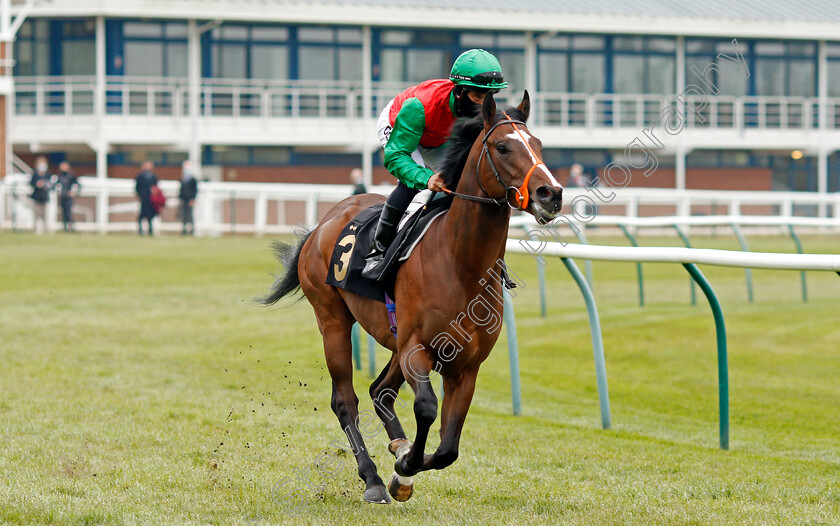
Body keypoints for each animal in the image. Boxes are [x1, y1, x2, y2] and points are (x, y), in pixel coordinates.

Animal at [260, 93, 564, 506]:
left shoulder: (466, 365)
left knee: (380, 391)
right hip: (332, 319)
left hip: (393, 339)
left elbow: (449, 448)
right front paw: (403, 467)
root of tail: (324, 222)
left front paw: (405, 463)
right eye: (503, 147)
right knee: (346, 400)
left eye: (539, 145)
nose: (552, 194)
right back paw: (372, 478)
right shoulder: (416, 347)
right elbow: (426, 407)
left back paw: (397, 448)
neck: (460, 262)